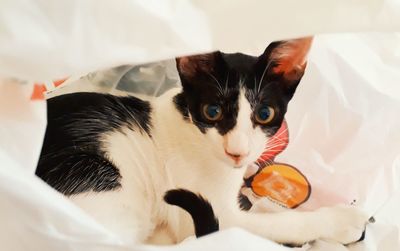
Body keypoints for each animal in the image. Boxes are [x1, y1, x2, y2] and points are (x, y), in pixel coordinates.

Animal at [36, 38, 368, 246]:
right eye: (212, 112)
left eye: (264, 114)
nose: (237, 152)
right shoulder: (223, 217)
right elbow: (282, 223)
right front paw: (343, 221)